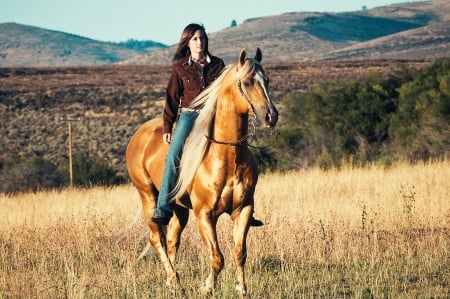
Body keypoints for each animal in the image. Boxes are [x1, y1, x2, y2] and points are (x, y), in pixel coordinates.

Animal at [124, 48, 278, 298]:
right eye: (247, 82)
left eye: (268, 80)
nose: (271, 116)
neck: (227, 156)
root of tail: (139, 135)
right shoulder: (205, 215)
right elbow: (217, 258)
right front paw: (206, 287)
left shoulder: (243, 209)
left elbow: (239, 253)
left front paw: (242, 289)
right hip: (148, 196)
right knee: (157, 237)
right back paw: (175, 281)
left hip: (178, 208)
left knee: (172, 239)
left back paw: (171, 283)